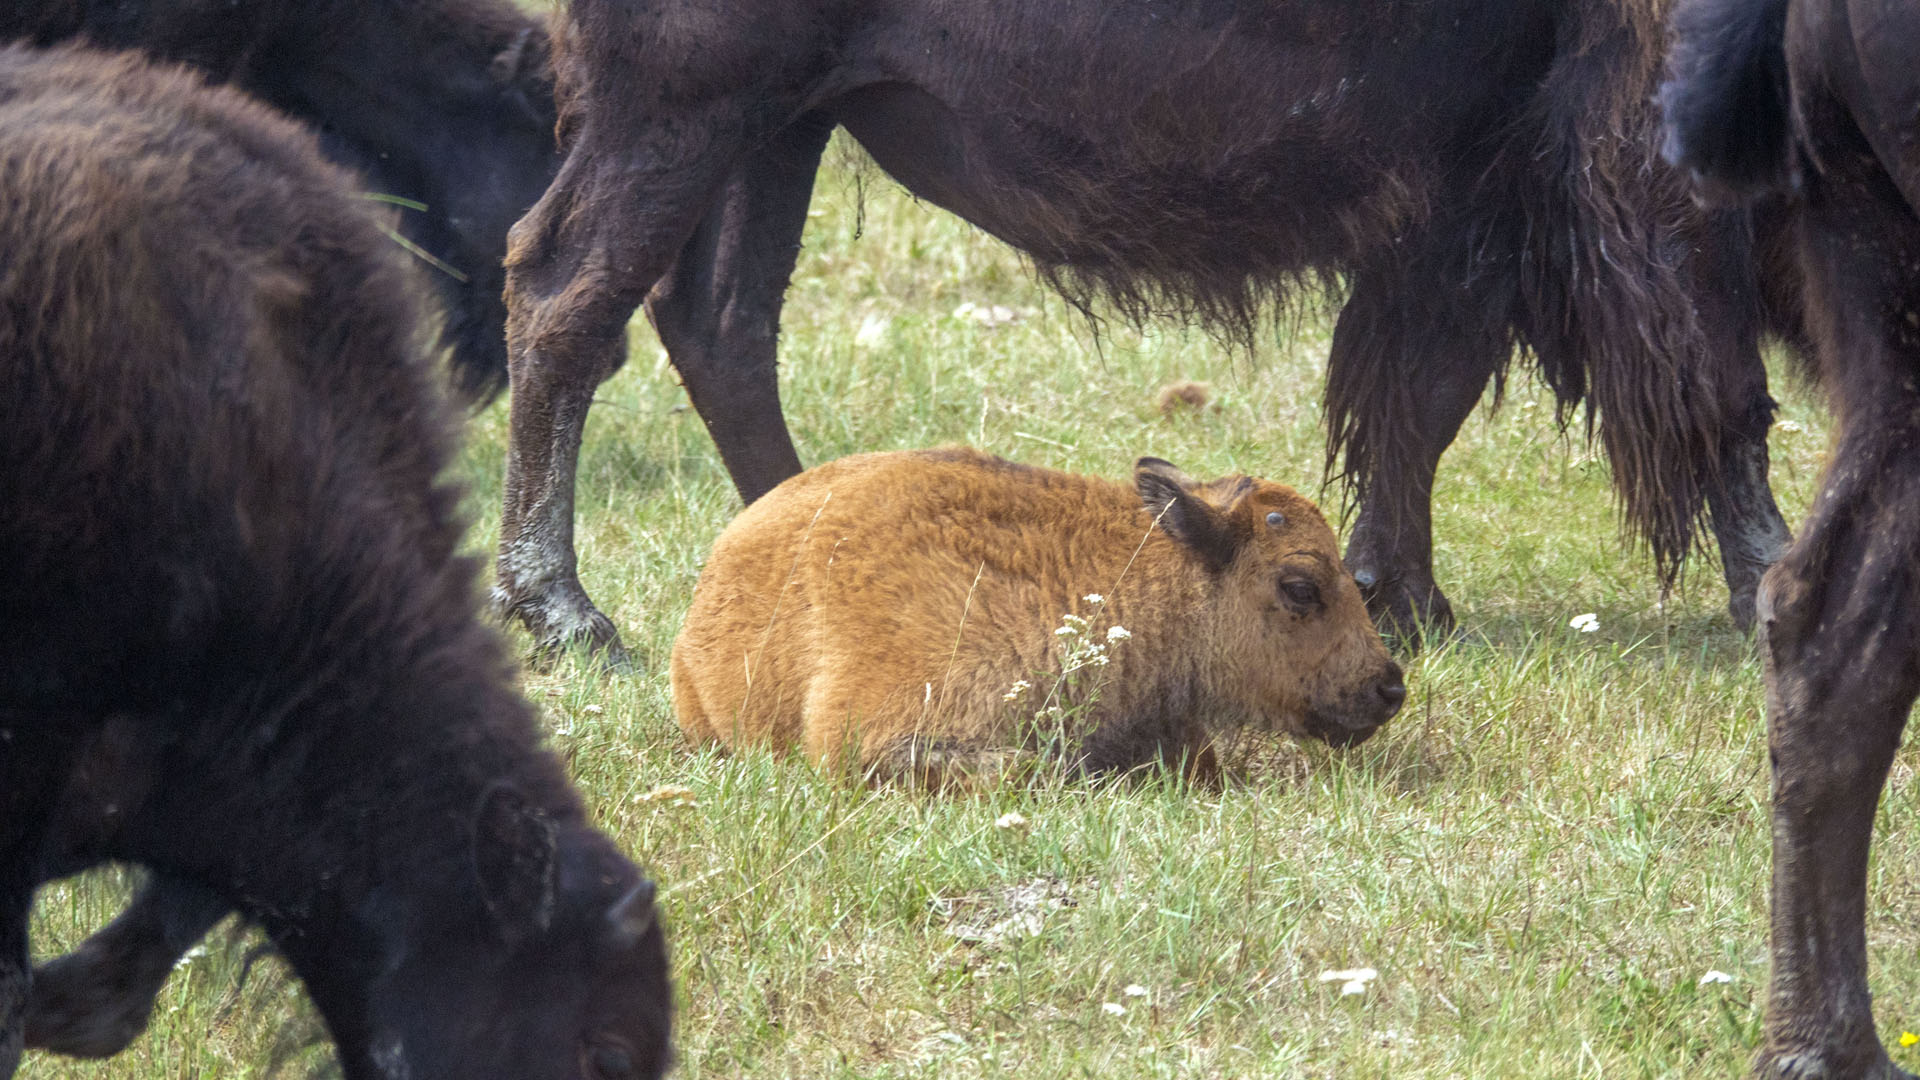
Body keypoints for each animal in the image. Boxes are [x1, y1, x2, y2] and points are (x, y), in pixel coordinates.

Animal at [496, 0, 1796, 662]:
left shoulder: (1467, 186)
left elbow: (1421, 394)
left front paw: (1406, 599)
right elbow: (1720, 384)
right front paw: (1776, 591)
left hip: (780, 121)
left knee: (718, 322)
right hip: (690, 106)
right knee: (566, 296)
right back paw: (568, 618)